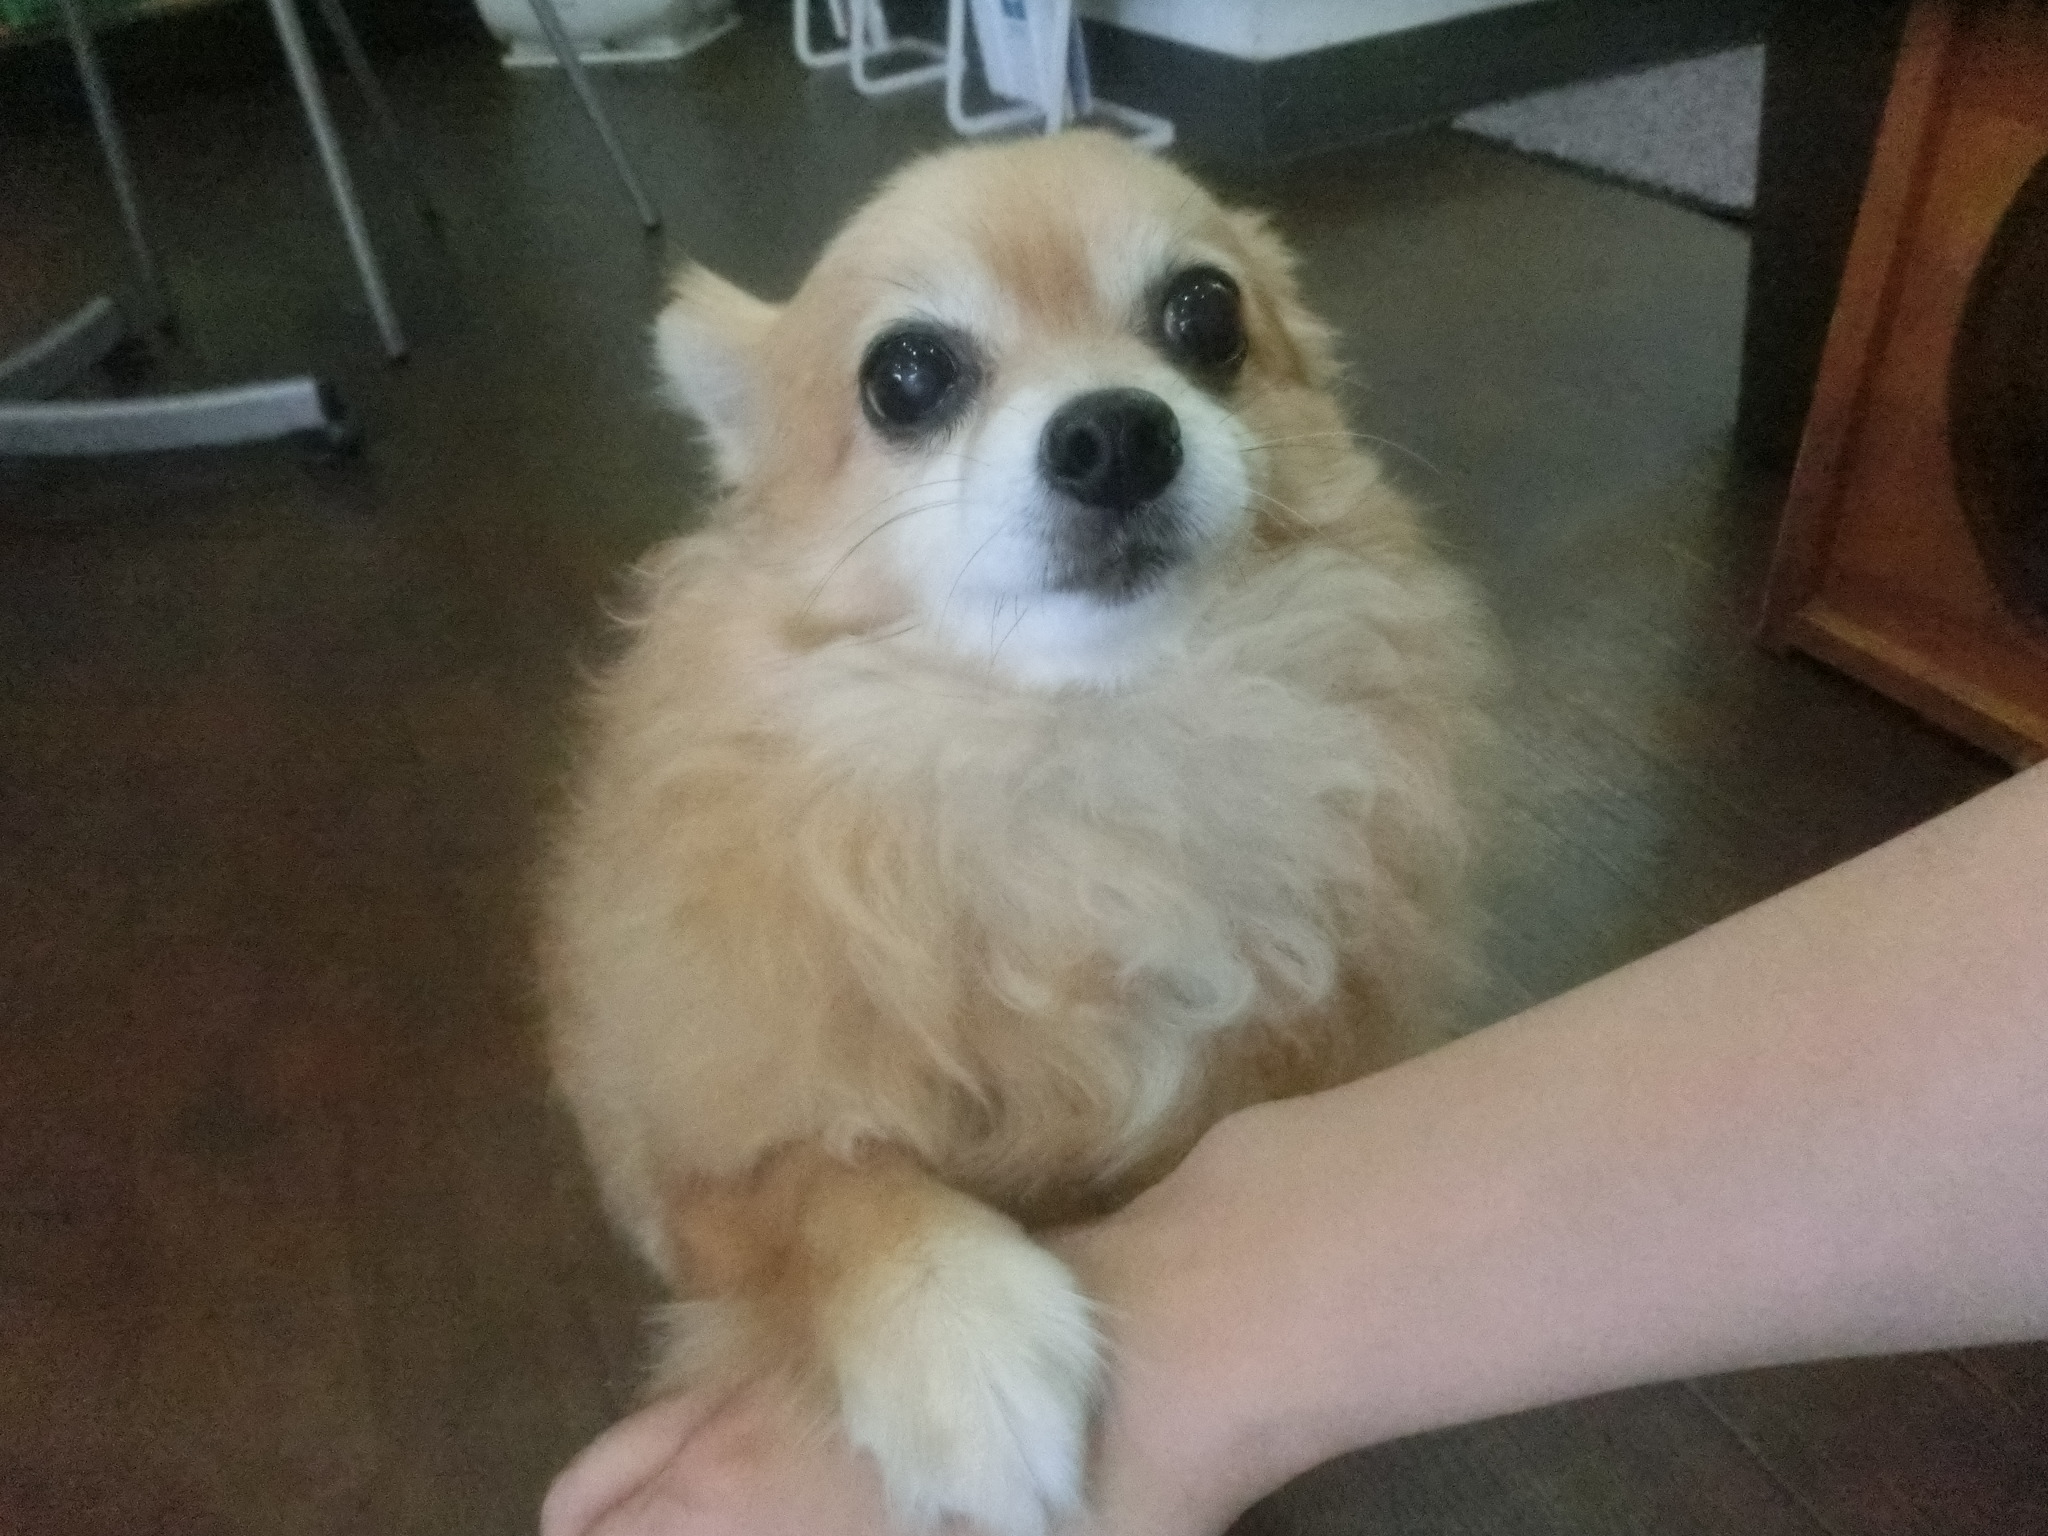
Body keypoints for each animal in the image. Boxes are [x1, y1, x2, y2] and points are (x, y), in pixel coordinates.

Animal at [542, 131, 1490, 1536]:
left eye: (1205, 316)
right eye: (905, 377)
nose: (1113, 433)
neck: (1075, 762)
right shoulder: (704, 1181)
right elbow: (830, 1181)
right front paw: (959, 1342)